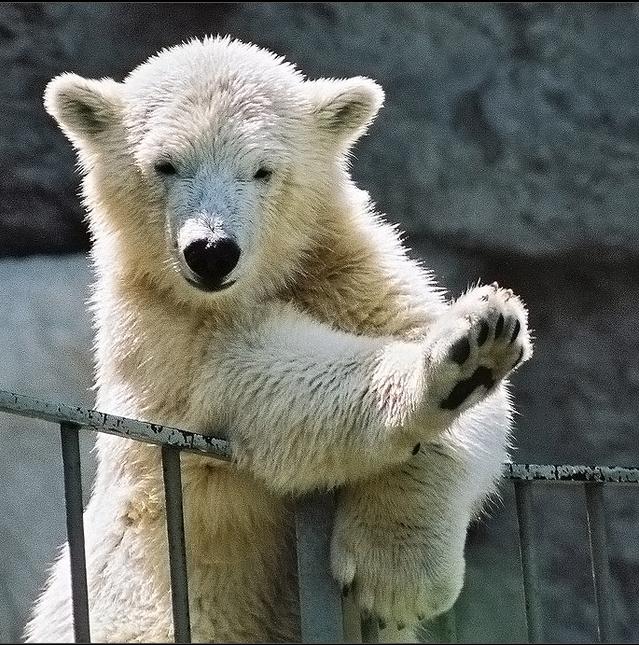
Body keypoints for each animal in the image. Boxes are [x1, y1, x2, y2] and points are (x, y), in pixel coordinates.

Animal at [25, 36, 532, 643]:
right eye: (165, 165)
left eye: (263, 170)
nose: (211, 252)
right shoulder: (165, 335)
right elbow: (275, 384)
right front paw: (450, 361)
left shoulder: (345, 266)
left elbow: (455, 385)